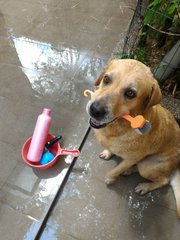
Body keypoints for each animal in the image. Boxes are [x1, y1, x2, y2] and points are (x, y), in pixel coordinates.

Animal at [86, 59, 180, 217]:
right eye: (106, 79)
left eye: (130, 93)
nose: (95, 110)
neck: (118, 128)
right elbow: (112, 152)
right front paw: (108, 153)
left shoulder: (132, 158)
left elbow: (114, 170)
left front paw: (110, 179)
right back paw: (129, 170)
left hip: (147, 166)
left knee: (164, 180)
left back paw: (144, 186)